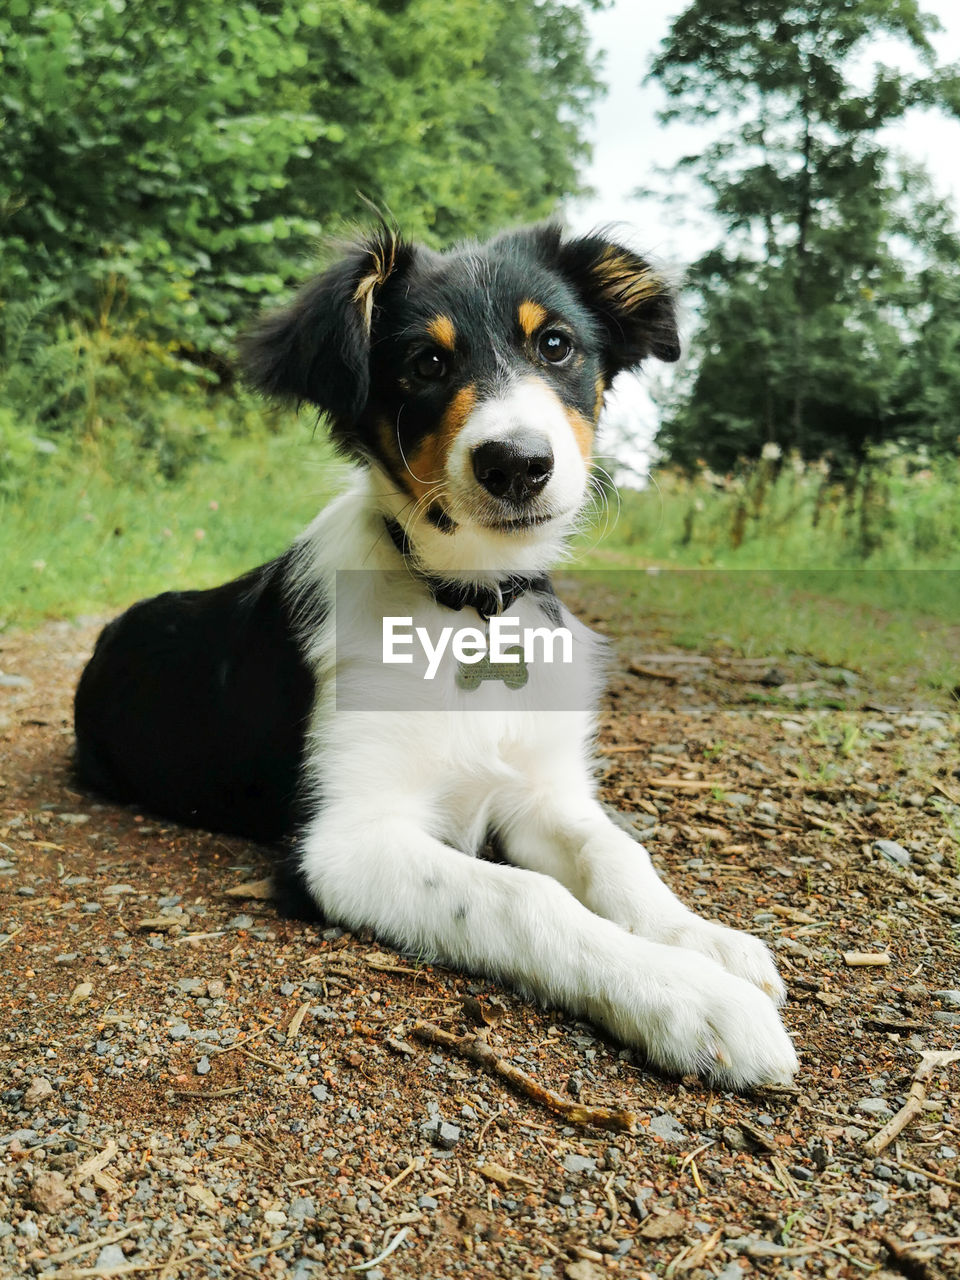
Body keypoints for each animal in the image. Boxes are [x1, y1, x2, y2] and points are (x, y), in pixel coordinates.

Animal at [73, 225, 798, 1085]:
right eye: (425, 363)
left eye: (557, 345)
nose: (516, 464)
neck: (470, 607)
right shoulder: (343, 844)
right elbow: (525, 898)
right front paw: (691, 998)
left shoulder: (542, 790)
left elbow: (617, 853)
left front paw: (704, 941)